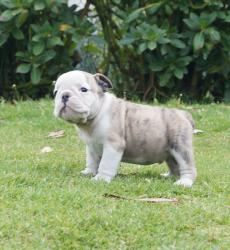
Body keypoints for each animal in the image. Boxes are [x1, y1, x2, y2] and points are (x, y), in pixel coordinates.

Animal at [53, 70, 197, 188]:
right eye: (56, 92)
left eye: (83, 89)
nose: (64, 95)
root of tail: (183, 114)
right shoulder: (91, 147)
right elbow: (92, 161)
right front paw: (88, 172)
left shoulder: (113, 145)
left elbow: (105, 164)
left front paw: (101, 179)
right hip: (169, 151)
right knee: (174, 165)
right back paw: (169, 176)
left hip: (180, 147)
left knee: (188, 166)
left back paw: (184, 182)